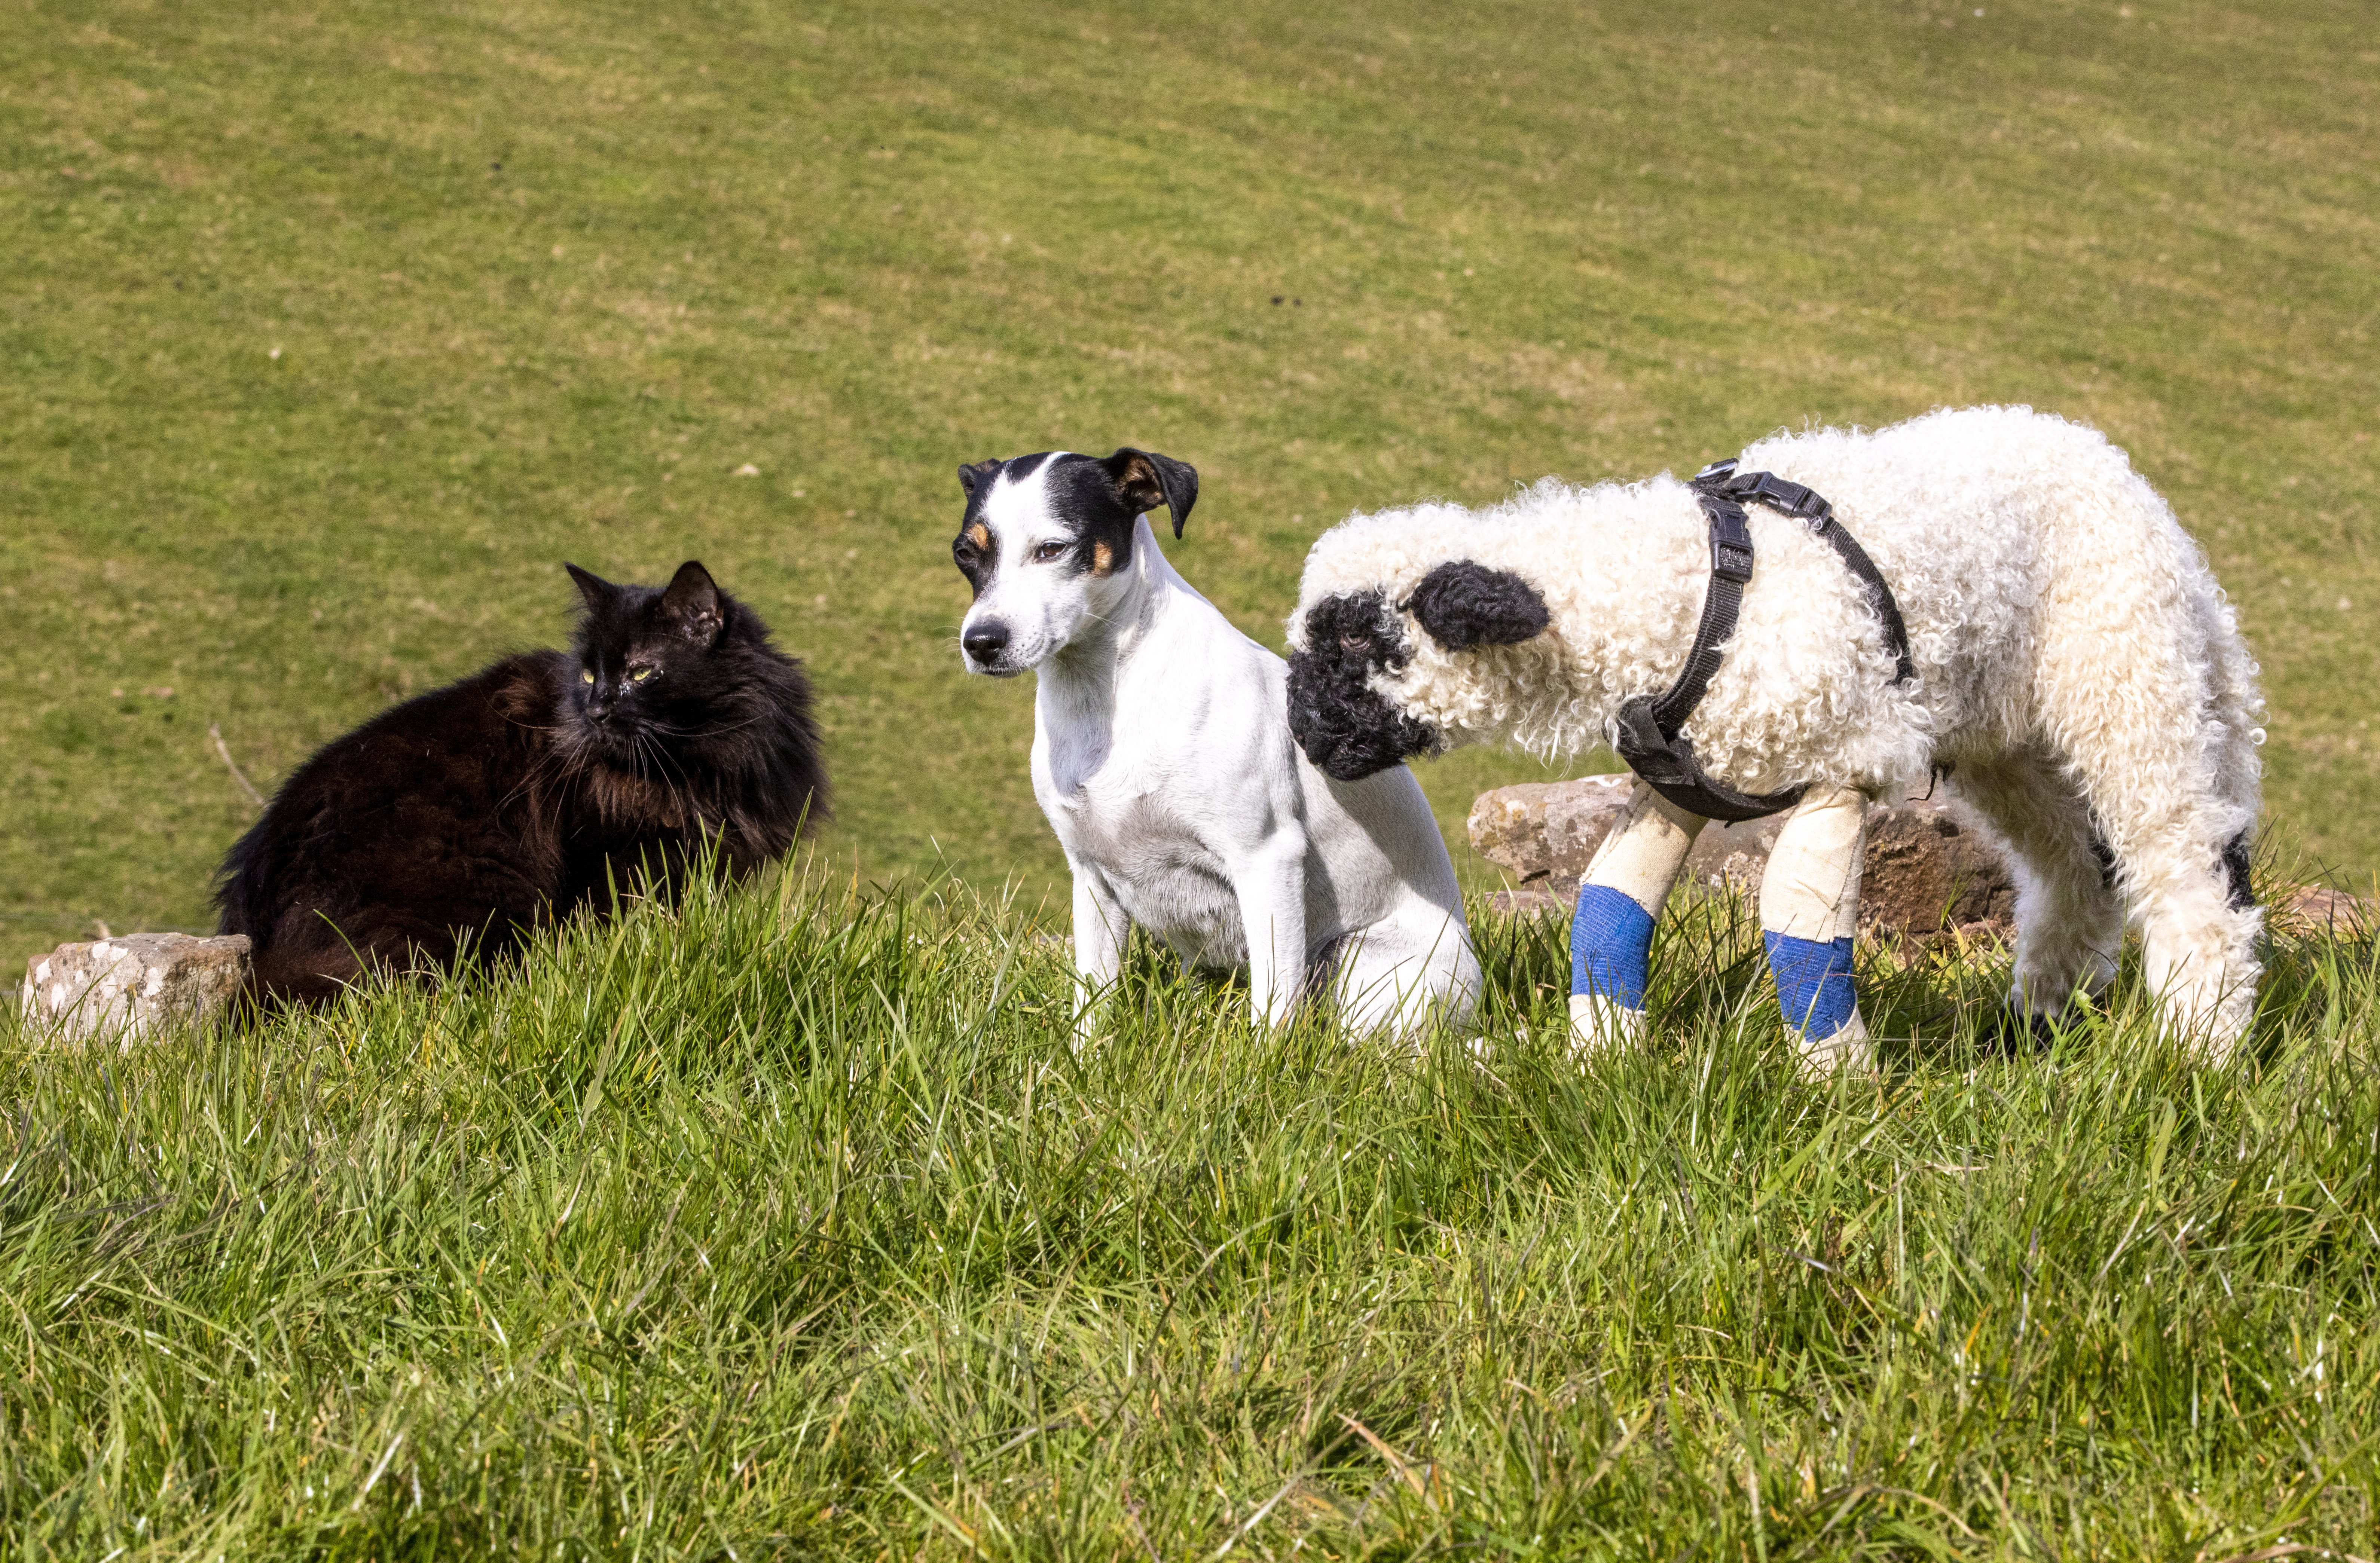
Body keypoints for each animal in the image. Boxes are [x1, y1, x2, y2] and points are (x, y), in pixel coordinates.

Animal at [952, 445, 1475, 1042]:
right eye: (965, 553)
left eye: (1052, 548)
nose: (981, 641)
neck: (1108, 703)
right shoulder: (1091, 879)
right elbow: (1093, 1002)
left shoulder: (1267, 860)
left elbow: (1273, 1007)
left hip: (1364, 968)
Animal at [1285, 404, 2266, 1061]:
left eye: (1354, 637)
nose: (1303, 732)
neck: (1681, 592)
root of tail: (2122, 475)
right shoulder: (1683, 776)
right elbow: (1606, 903)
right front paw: (1602, 1058)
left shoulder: (1846, 758)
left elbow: (1795, 920)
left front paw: (1842, 1088)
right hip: (2005, 734)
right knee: (2077, 864)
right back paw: (2034, 1021)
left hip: (2128, 679)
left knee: (2185, 866)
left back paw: (2199, 1051)